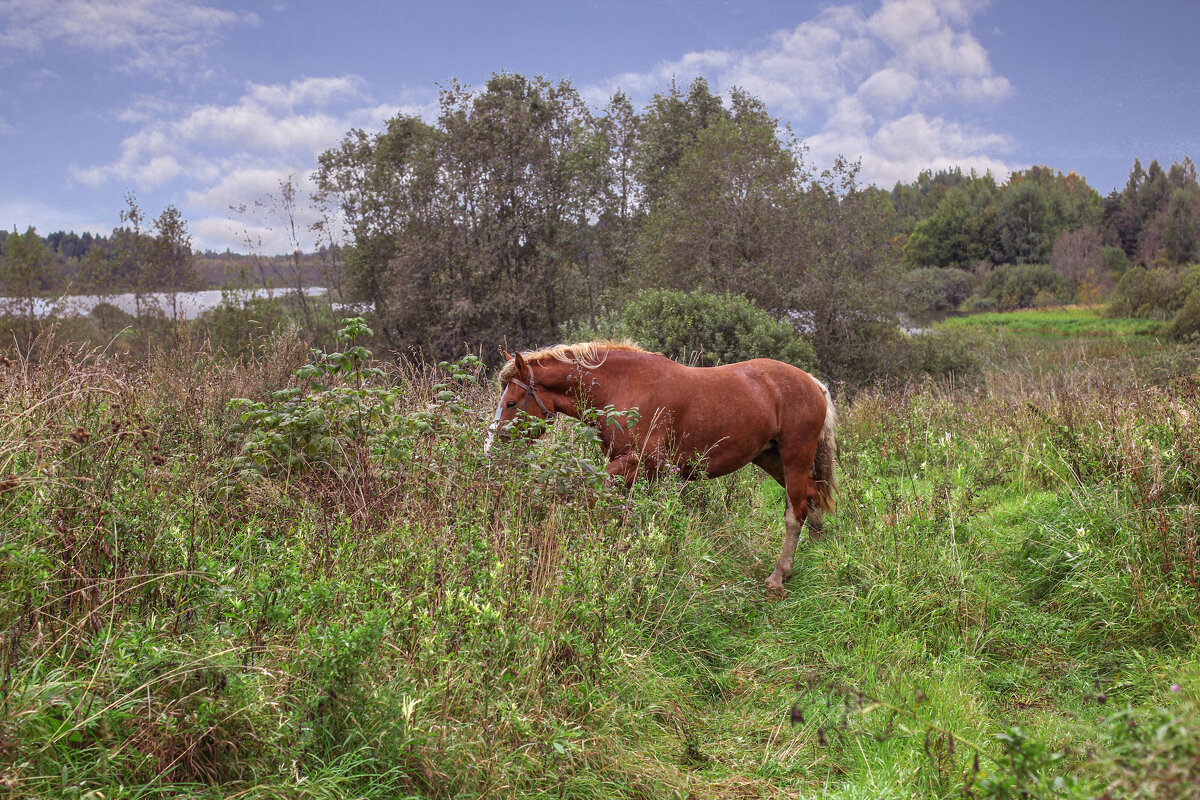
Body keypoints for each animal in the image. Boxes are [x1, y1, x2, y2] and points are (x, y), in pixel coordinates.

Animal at [482, 340, 840, 592]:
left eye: (511, 403)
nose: (489, 451)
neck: (622, 386)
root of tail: (812, 382)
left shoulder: (637, 465)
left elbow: (588, 492)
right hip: (771, 459)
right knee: (811, 497)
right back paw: (819, 555)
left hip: (794, 457)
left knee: (795, 513)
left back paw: (778, 576)